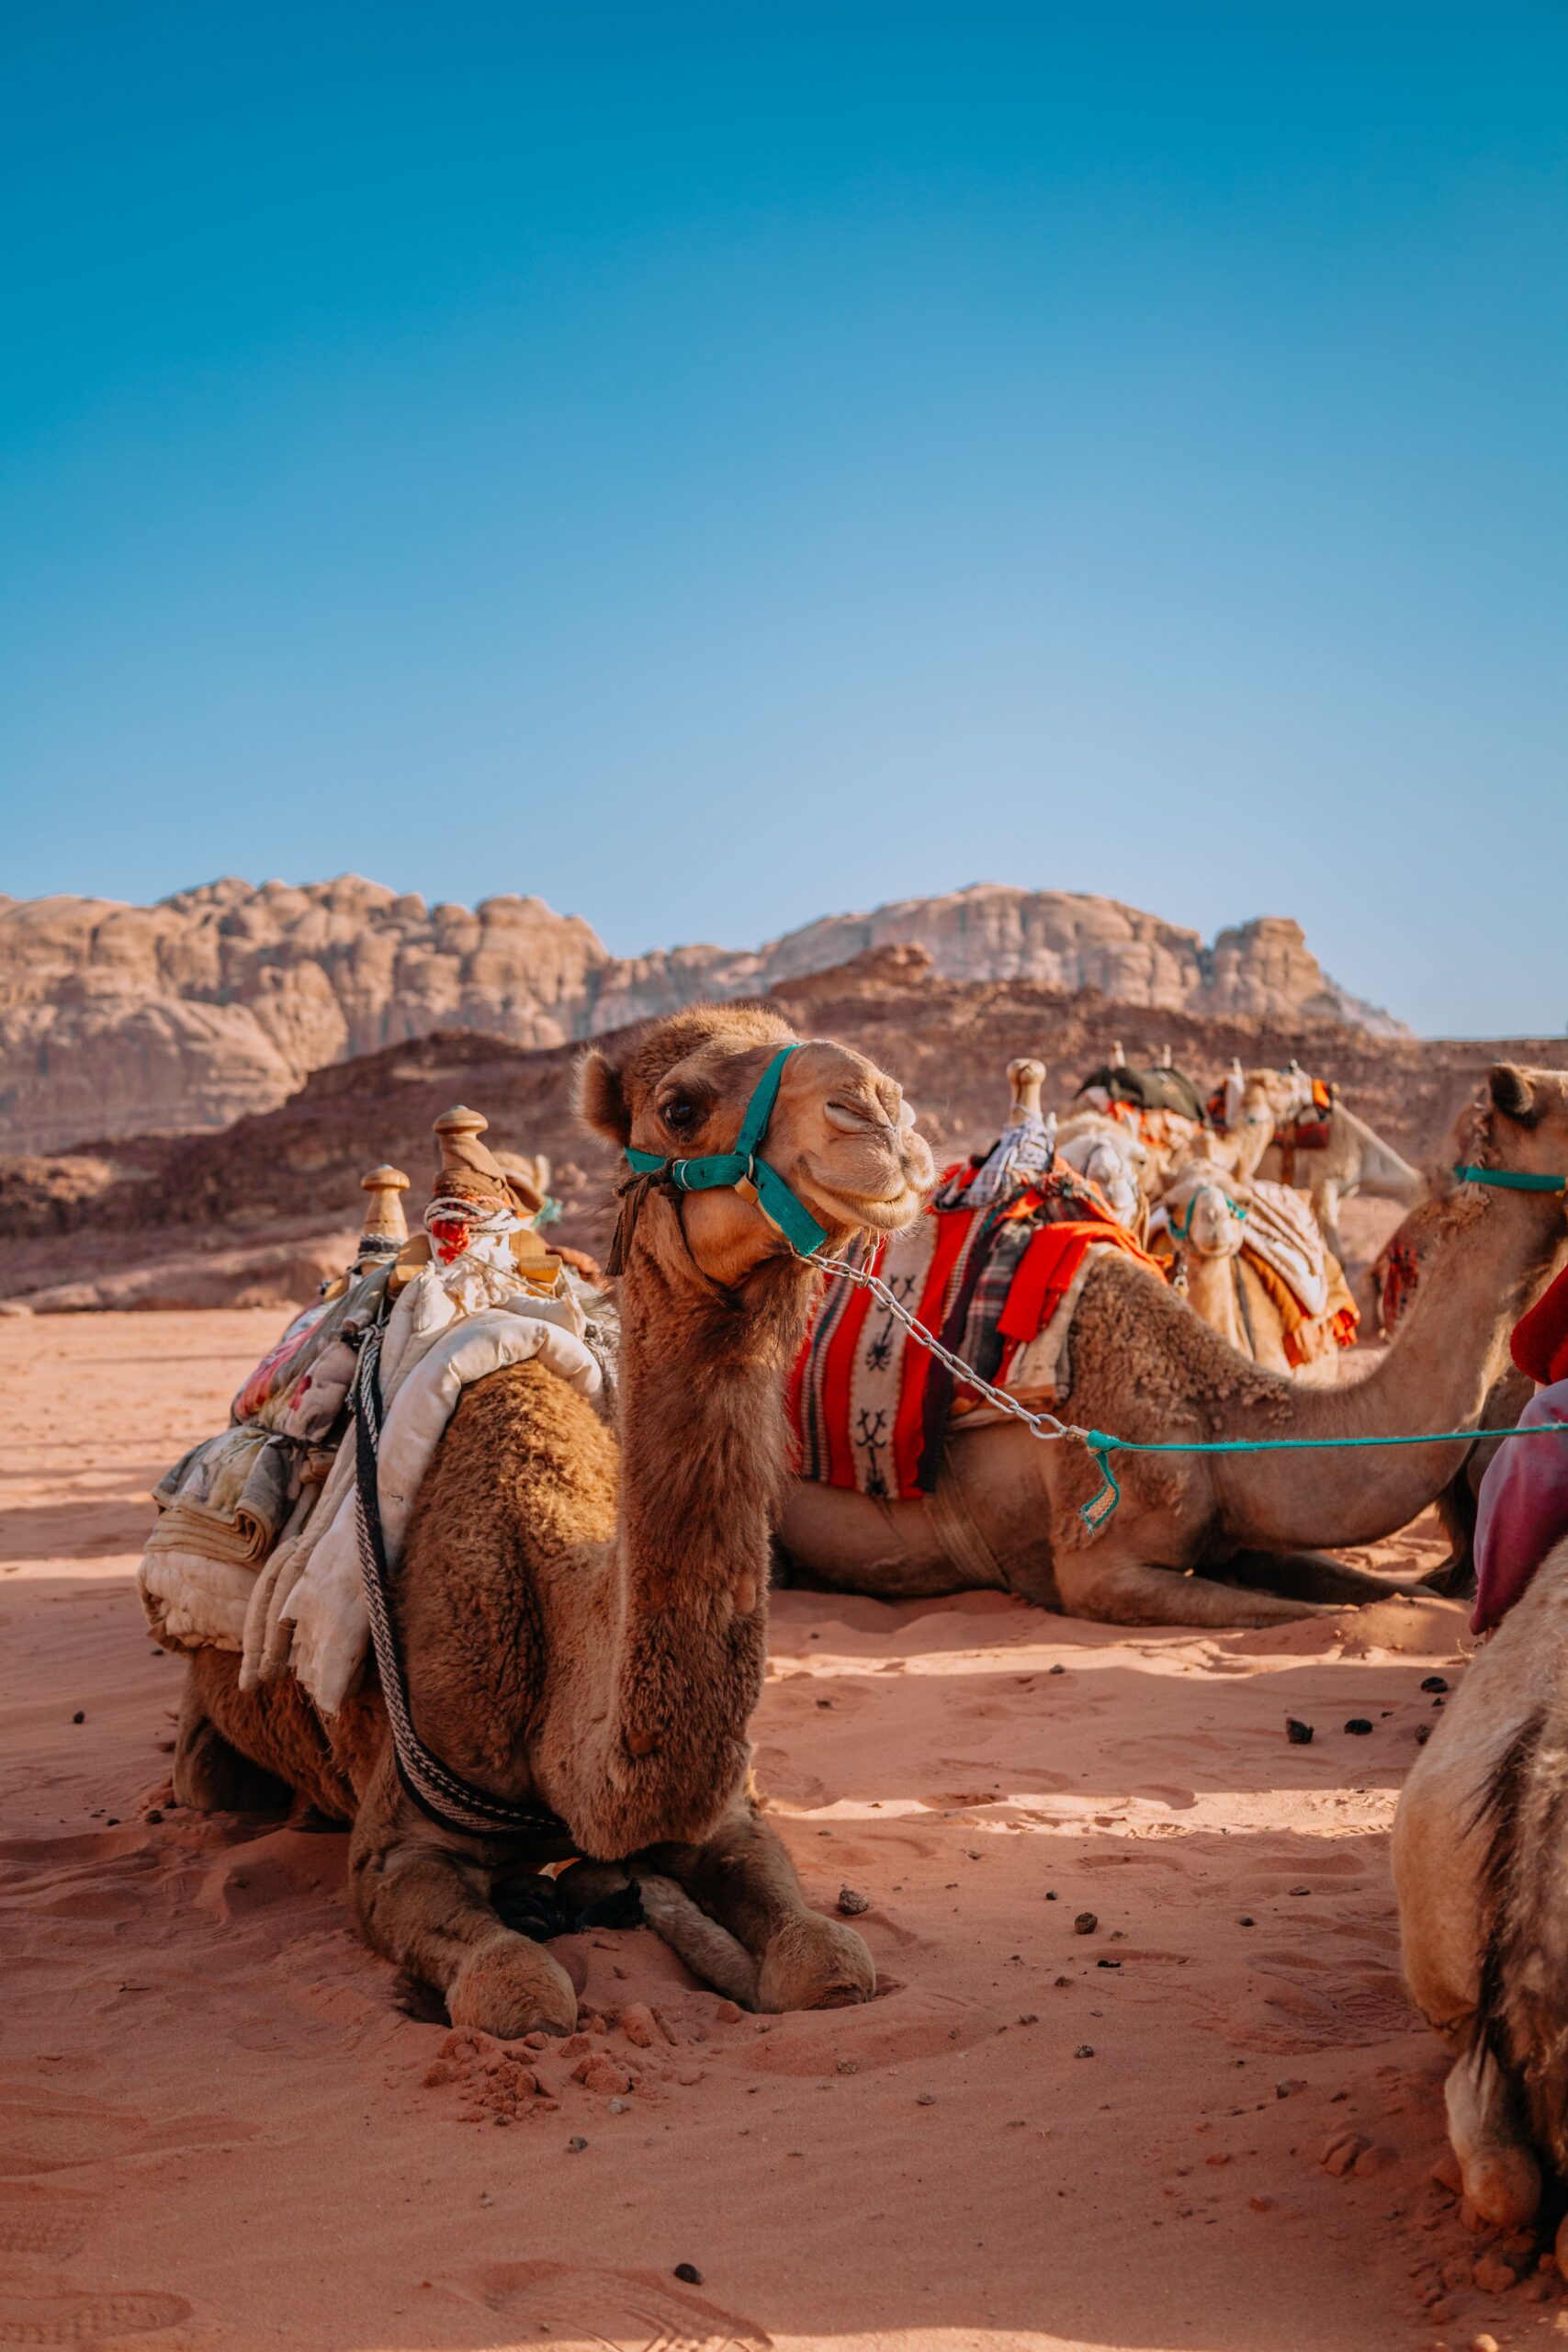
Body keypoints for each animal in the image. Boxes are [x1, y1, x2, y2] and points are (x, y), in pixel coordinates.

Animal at [169, 1005, 935, 2038]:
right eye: (678, 1105)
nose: (880, 1114)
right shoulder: (398, 1841)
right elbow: (520, 1991)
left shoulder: (727, 1821)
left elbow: (828, 1962)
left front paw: (653, 1901)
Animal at [778, 1065, 1568, 1628]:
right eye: (1559, 1098)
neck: (1214, 1413)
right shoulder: (1101, 1570)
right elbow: (1299, 1616)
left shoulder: (1246, 1533)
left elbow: (1385, 1597)